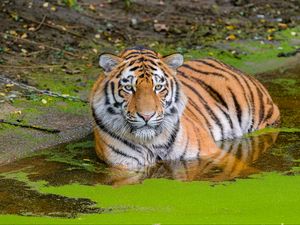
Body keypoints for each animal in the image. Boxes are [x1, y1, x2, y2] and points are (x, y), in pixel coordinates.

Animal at [90, 45, 280, 169]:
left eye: (158, 87)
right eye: (129, 88)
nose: (147, 116)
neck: (152, 142)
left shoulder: (211, 152)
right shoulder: (124, 167)